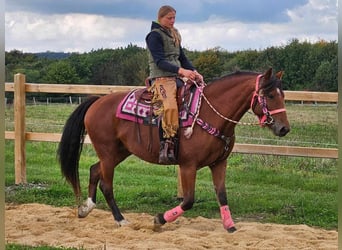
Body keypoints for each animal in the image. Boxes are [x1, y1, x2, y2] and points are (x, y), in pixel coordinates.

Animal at [57, 68, 290, 232]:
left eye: (283, 95)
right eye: (270, 95)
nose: (284, 128)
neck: (208, 113)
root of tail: (97, 101)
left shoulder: (219, 163)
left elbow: (222, 195)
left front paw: (230, 226)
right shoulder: (188, 166)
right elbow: (188, 200)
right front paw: (159, 220)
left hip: (118, 152)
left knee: (94, 170)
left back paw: (85, 209)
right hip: (108, 152)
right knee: (106, 184)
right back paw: (121, 220)